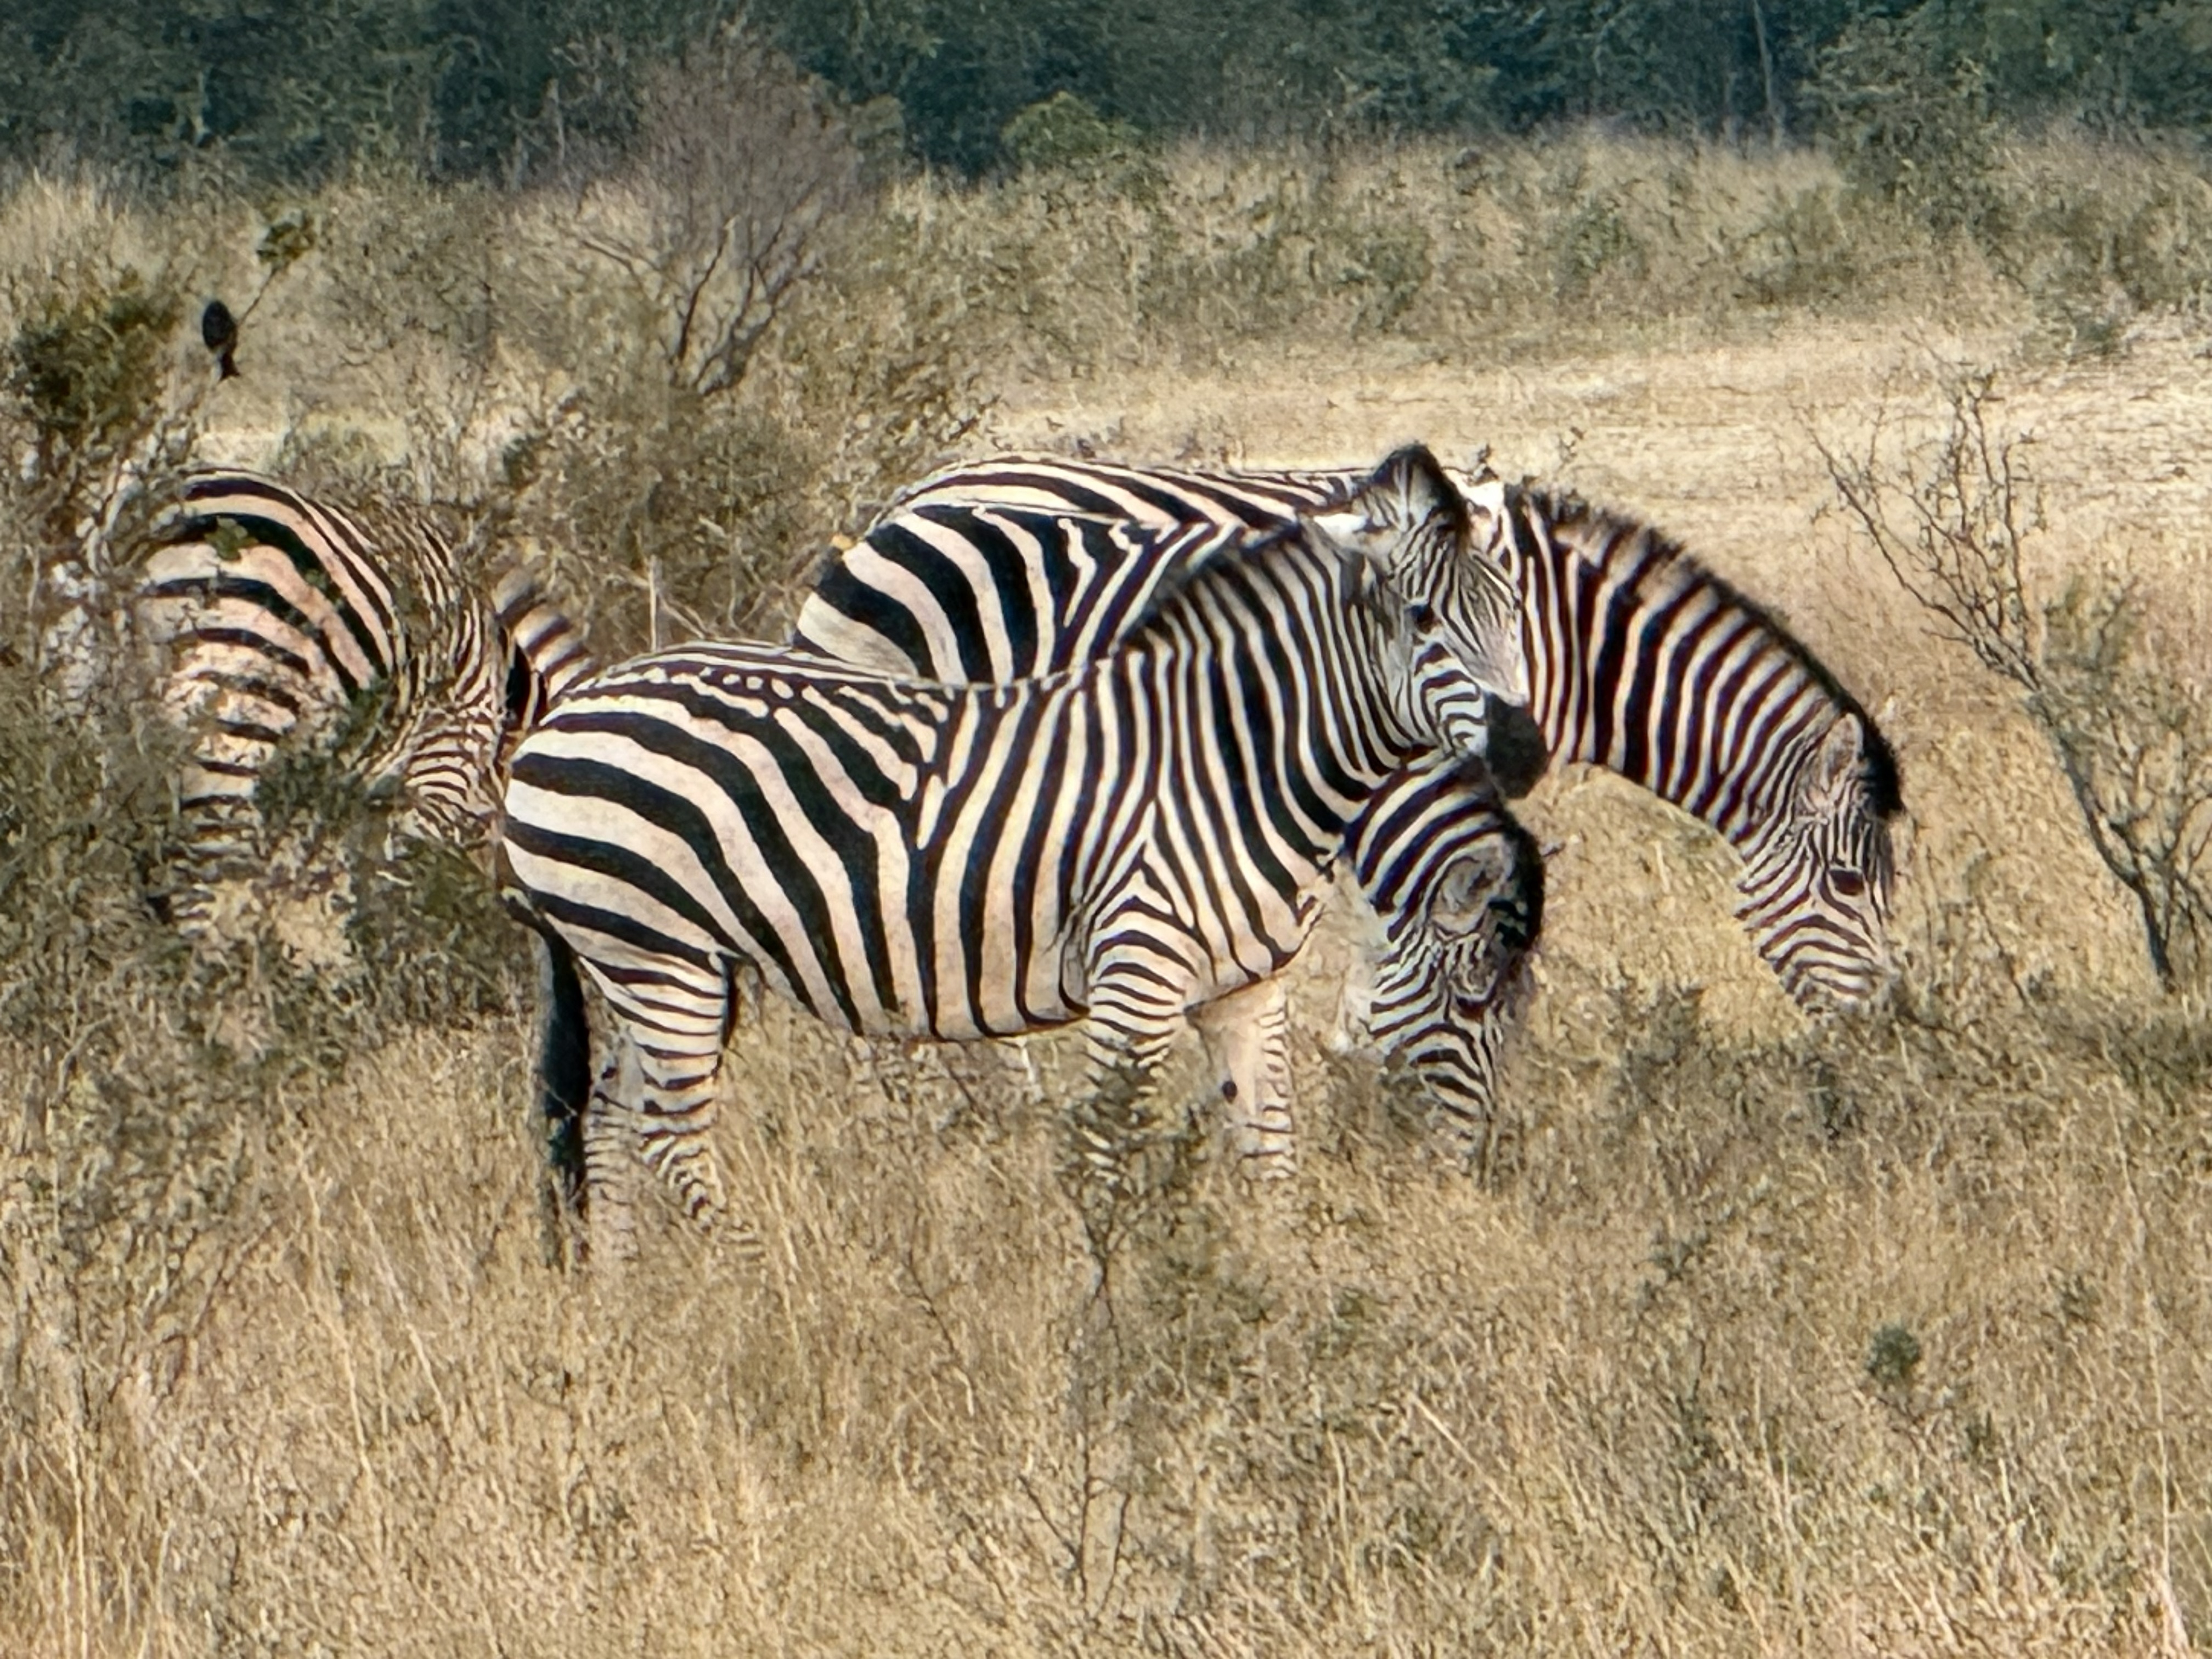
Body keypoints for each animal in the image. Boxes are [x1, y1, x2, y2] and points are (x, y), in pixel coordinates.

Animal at [131, 469, 586, 938]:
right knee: (213, 849)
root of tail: (200, 511)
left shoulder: (333, 778)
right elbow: (377, 874)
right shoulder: (439, 777)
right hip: (241, 707)